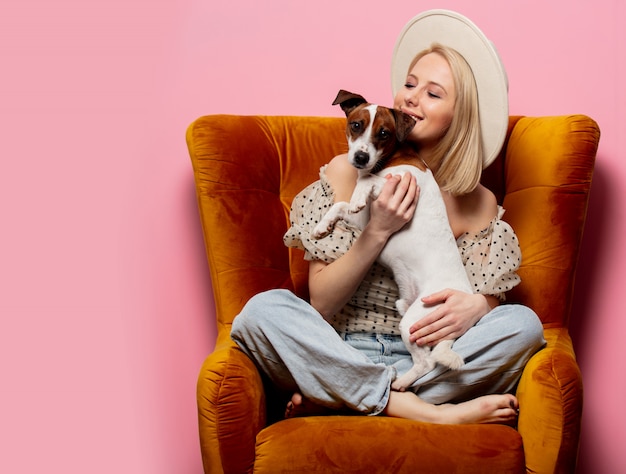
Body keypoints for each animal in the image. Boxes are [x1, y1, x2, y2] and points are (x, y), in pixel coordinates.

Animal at [312, 90, 468, 390]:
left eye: (384, 133)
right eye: (356, 125)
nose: (361, 157)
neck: (389, 159)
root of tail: (463, 294)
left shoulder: (400, 186)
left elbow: (366, 183)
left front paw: (358, 193)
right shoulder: (366, 221)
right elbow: (339, 206)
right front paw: (322, 226)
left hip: (416, 320)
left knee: (428, 363)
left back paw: (401, 383)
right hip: (406, 312)